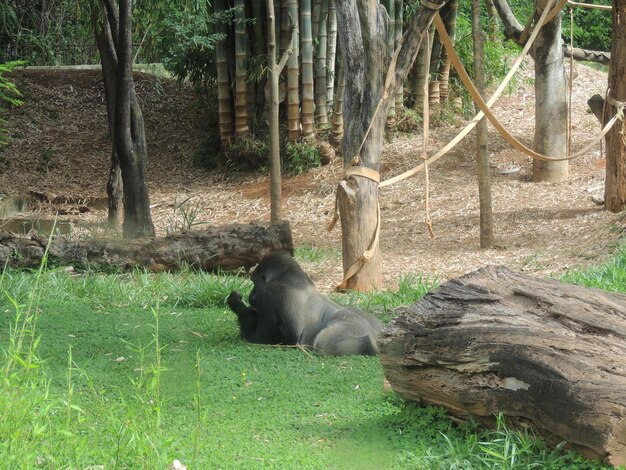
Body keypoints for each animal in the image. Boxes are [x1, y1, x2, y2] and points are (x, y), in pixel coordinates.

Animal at [224, 252, 380, 354]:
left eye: (254, 283)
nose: (252, 295)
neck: (293, 280)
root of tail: (375, 338)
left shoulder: (271, 292)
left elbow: (260, 339)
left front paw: (237, 304)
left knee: (322, 343)